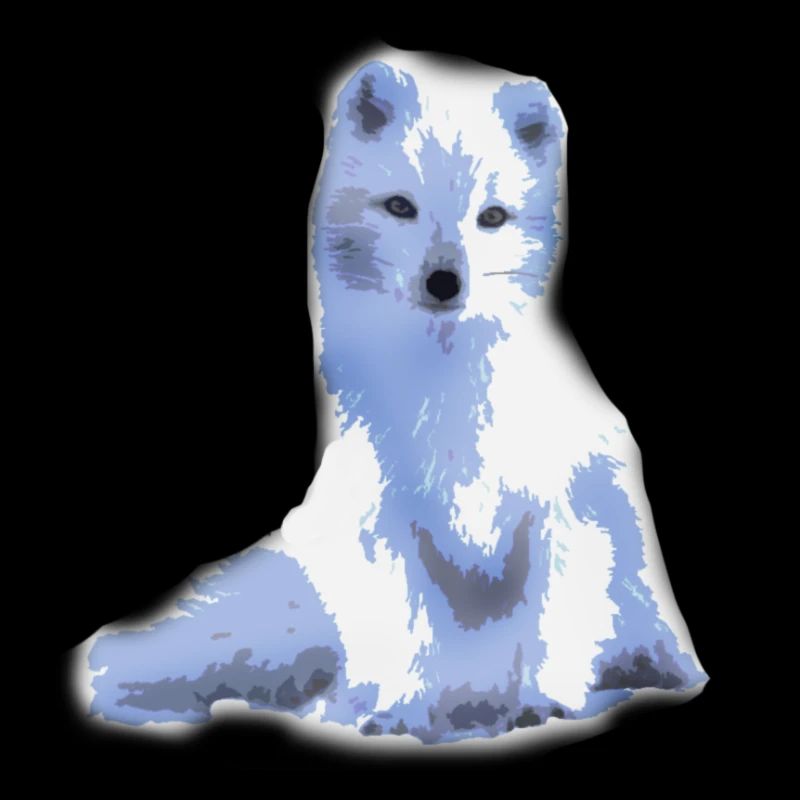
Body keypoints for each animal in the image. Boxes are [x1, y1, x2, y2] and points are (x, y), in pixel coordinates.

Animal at [67, 44, 710, 756]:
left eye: (492, 218)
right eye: (400, 207)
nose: (445, 281)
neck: (449, 391)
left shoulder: (564, 509)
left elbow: (551, 623)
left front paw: (547, 704)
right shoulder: (387, 518)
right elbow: (409, 626)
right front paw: (400, 714)